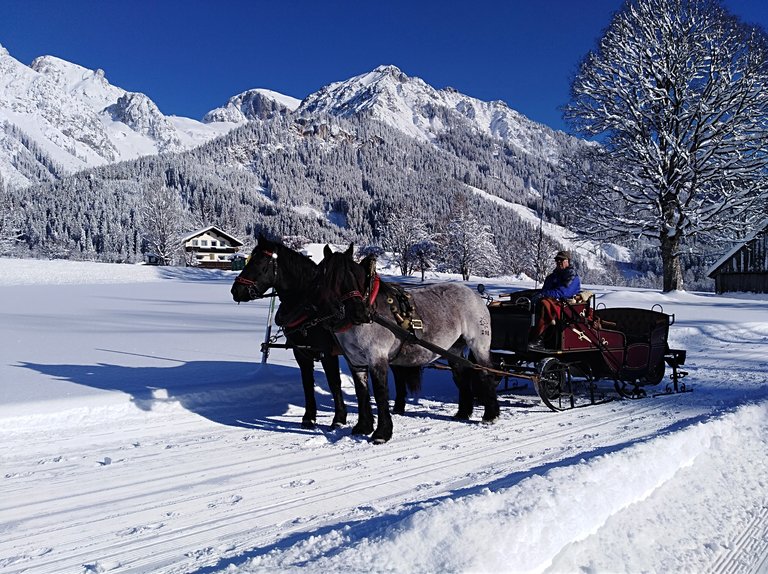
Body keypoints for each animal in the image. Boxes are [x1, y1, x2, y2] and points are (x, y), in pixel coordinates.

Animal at [231, 237, 420, 432]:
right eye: (248, 260)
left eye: (259, 262)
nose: (236, 290)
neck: (309, 307)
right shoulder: (301, 353)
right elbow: (307, 383)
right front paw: (309, 417)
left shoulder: (327, 352)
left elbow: (334, 382)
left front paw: (339, 418)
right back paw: (398, 406)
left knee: (398, 373)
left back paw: (398, 405)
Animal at [316, 246, 500, 446]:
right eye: (333, 278)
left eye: (356, 277)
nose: (360, 314)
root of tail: (475, 295)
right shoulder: (355, 361)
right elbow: (361, 392)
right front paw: (362, 427)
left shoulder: (377, 357)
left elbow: (380, 393)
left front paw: (382, 433)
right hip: (454, 349)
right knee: (461, 376)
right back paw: (463, 413)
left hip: (479, 344)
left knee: (485, 373)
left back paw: (491, 415)